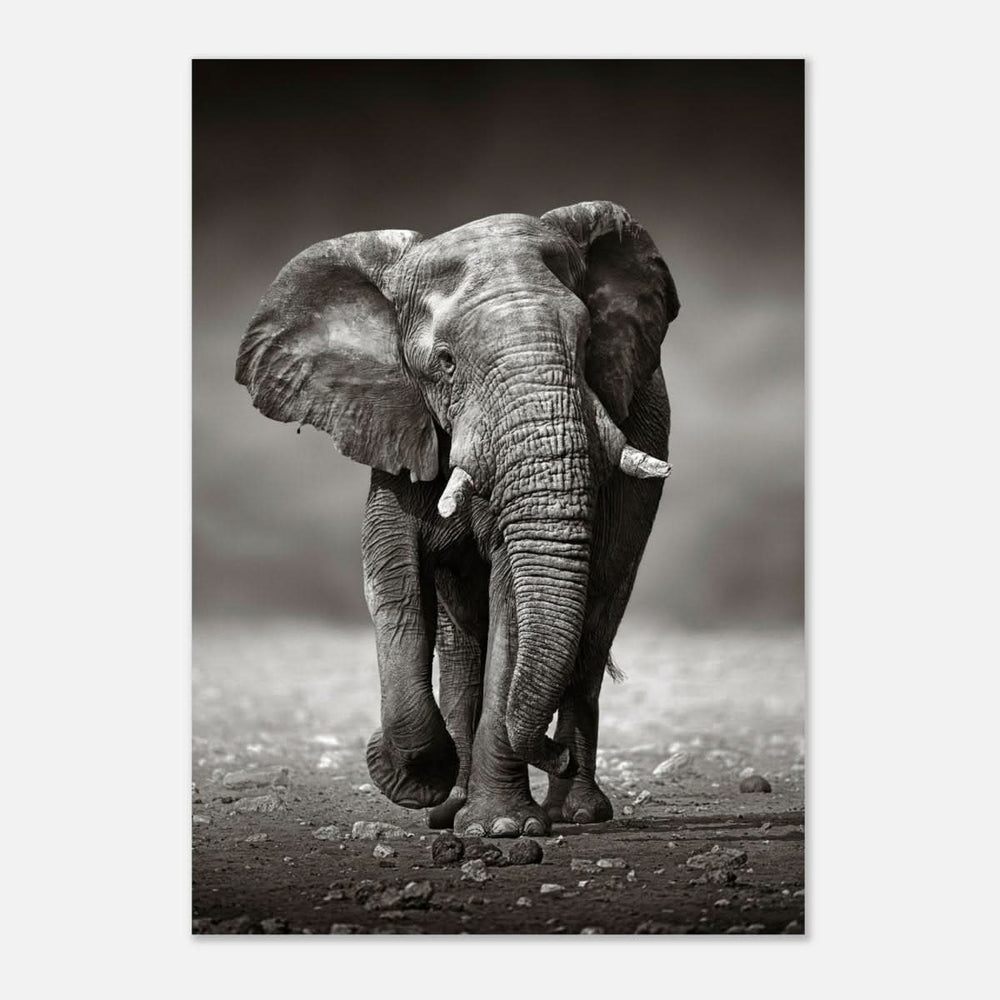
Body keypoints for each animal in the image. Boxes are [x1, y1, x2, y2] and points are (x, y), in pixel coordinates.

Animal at [236, 200, 680, 837]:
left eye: (588, 341)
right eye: (444, 363)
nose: (552, 753)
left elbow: (512, 598)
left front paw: (503, 828)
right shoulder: (396, 422)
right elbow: (392, 578)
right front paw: (416, 779)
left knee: (594, 625)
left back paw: (575, 812)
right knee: (462, 643)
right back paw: (452, 808)